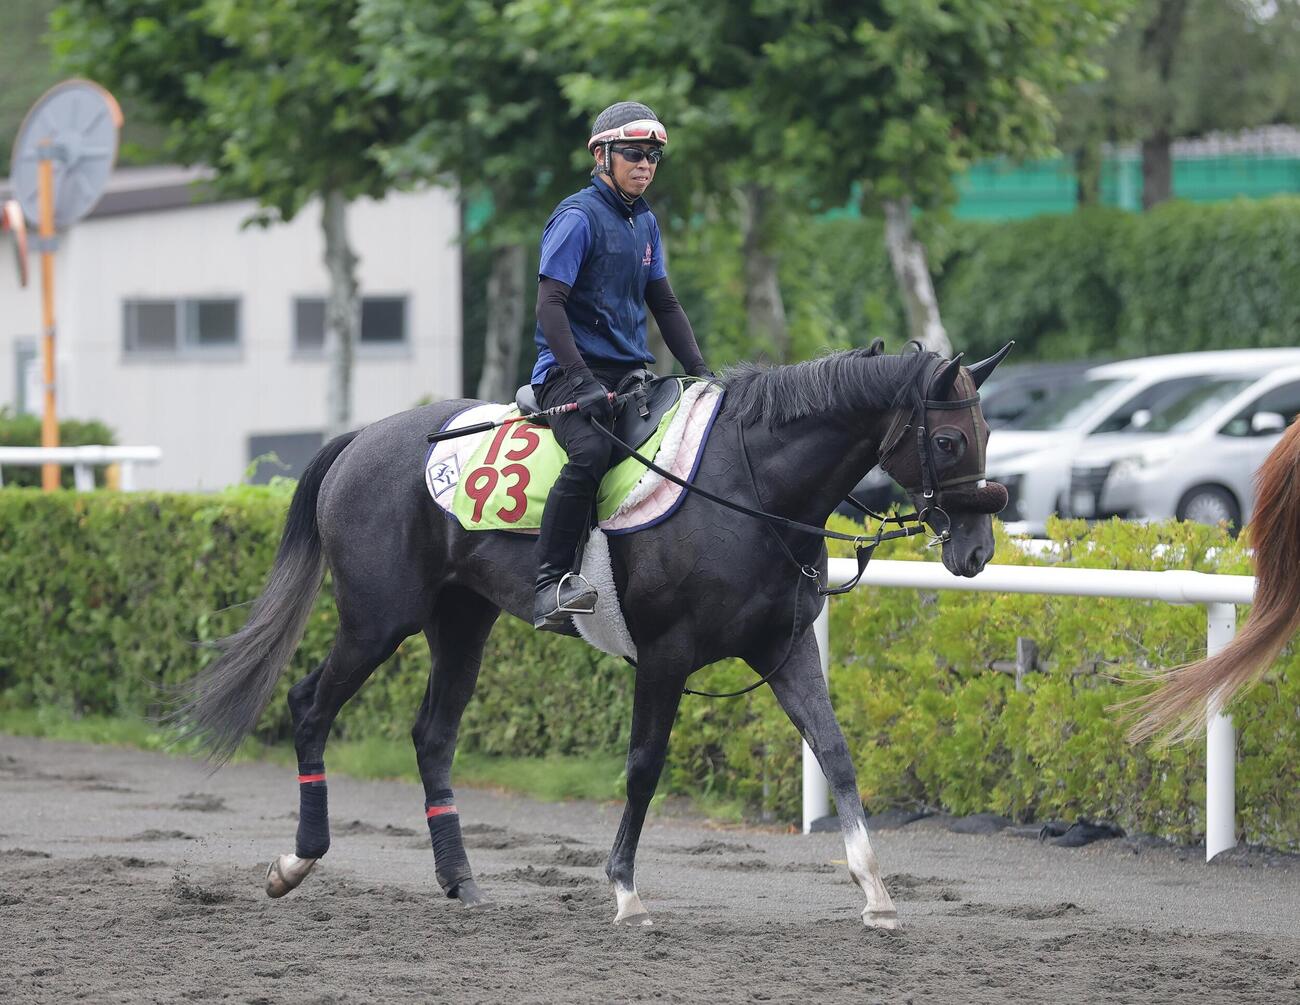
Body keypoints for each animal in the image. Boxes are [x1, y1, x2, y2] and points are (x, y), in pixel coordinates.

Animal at [177, 342, 1013, 930]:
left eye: (987, 430)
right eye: (948, 441)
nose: (976, 549)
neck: (748, 485)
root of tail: (360, 439)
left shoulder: (784, 647)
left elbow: (835, 749)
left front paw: (874, 886)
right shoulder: (667, 656)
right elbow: (644, 767)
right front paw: (624, 889)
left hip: (461, 619)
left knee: (432, 735)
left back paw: (460, 877)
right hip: (378, 619)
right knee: (311, 703)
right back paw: (297, 860)